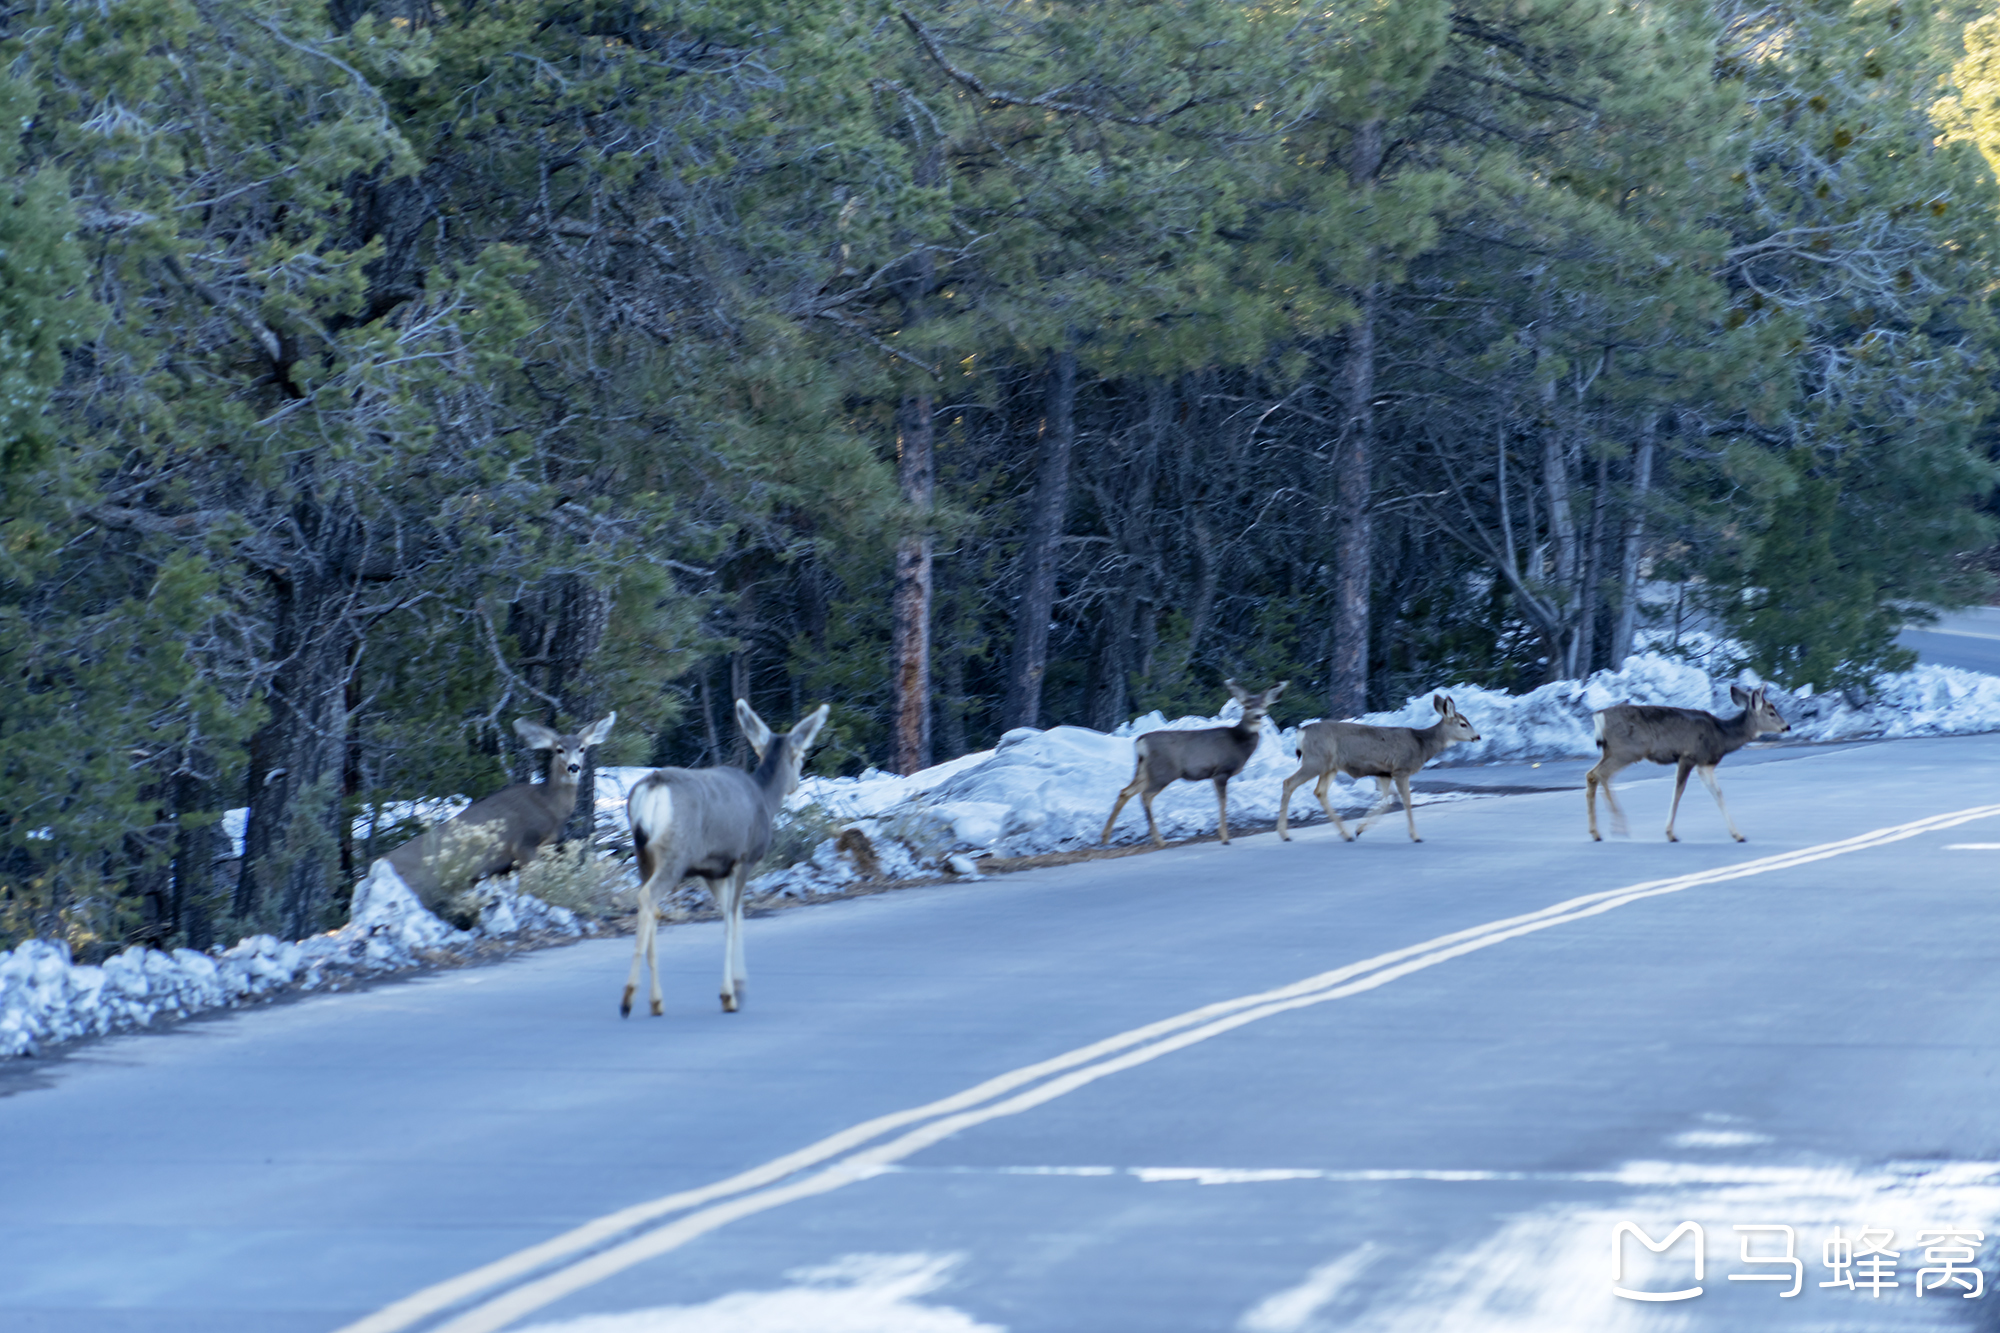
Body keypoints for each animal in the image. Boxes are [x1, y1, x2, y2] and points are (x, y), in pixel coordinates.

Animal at [380, 712, 612, 908]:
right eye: (559, 749)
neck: (550, 806)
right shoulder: (524, 843)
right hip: (421, 882)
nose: (574, 767)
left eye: (582, 748)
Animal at [616, 696, 820, 1016]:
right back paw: (628, 998)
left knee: (651, 907)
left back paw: (656, 1001)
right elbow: (731, 921)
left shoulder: (713, 870)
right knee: (648, 899)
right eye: (800, 755)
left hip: (642, 856)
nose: (796, 783)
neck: (765, 799)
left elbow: (733, 917)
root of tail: (652, 788)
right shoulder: (744, 859)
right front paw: (729, 994)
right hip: (675, 856)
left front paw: (739, 985)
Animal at [1104, 680, 1288, 844]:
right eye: (1247, 705)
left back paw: (1105, 837)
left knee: (1125, 791)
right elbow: (1223, 801)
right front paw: (1225, 838)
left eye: (1264, 705)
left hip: (1144, 771)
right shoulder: (1221, 771)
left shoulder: (1214, 775)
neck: (1237, 741)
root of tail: (1141, 742)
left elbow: (1220, 801)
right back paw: (1159, 840)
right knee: (1145, 795)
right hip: (1163, 772)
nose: (1258, 716)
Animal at [1280, 688, 1488, 836]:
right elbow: (1406, 801)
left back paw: (1346, 834)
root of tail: (1301, 732)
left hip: (1329, 766)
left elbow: (1387, 801)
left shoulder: (1384, 773)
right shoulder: (1401, 769)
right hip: (1316, 761)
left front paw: (1360, 828)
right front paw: (1415, 836)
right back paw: (1284, 834)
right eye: (1463, 724)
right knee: (1288, 782)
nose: (1478, 736)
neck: (1422, 744)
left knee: (1320, 792)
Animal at [1584, 684, 1792, 840]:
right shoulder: (1688, 756)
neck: (1722, 735)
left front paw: (1737, 834)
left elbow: (1718, 794)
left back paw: (1596, 832)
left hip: (1611, 750)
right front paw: (1670, 833)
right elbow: (1678, 791)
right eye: (1771, 713)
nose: (1787, 726)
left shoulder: (1705, 764)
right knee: (1601, 774)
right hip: (1627, 750)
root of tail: (1599, 716)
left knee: (1592, 774)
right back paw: (1619, 827)